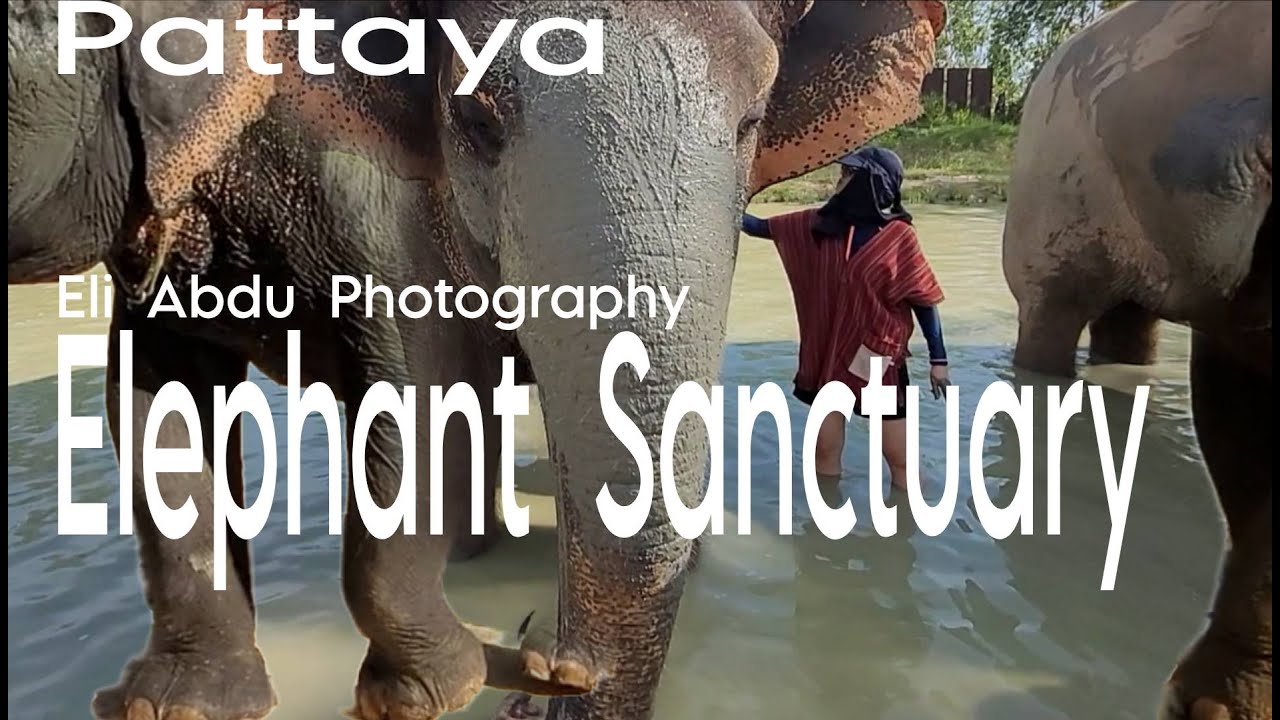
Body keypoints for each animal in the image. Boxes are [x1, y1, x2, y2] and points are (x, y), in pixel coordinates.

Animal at [8, 1, 947, 719]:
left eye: (753, 122)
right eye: (477, 119)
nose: (551, 669)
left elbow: (416, 392)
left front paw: (423, 691)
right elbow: (156, 397)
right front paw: (176, 707)